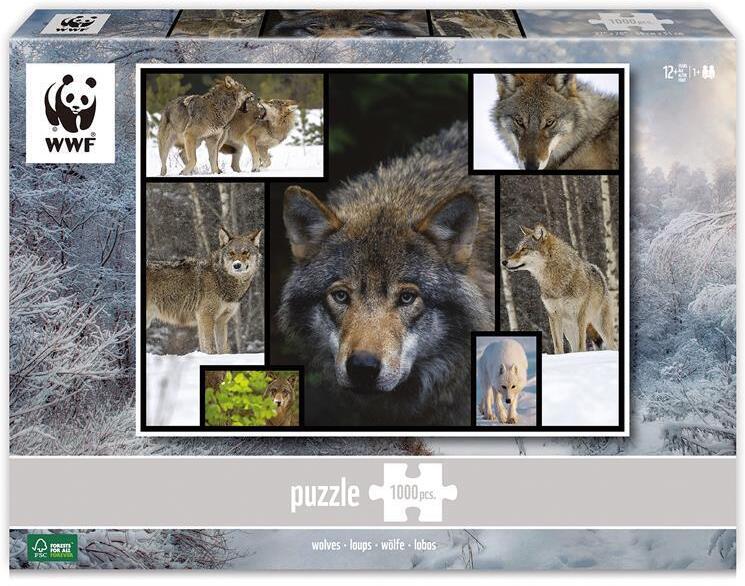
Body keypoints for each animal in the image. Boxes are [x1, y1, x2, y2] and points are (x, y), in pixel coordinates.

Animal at [502, 224, 617, 353]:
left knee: (612, 346)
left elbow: (582, 347)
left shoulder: (580, 316)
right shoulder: (553, 315)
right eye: (517, 249)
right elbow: (558, 347)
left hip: (601, 328)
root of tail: (600, 273)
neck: (555, 281)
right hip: (569, 330)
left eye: (524, 249)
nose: (504, 261)